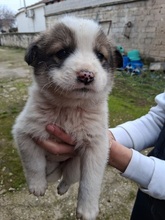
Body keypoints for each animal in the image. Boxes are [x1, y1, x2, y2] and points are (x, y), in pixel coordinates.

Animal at [12, 15, 122, 220]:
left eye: (100, 56)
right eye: (62, 52)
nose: (86, 75)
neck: (70, 109)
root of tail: (60, 168)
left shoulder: (97, 146)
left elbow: (91, 182)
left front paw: (87, 210)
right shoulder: (24, 132)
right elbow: (33, 163)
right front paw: (37, 186)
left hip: (74, 168)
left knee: (68, 180)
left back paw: (62, 188)